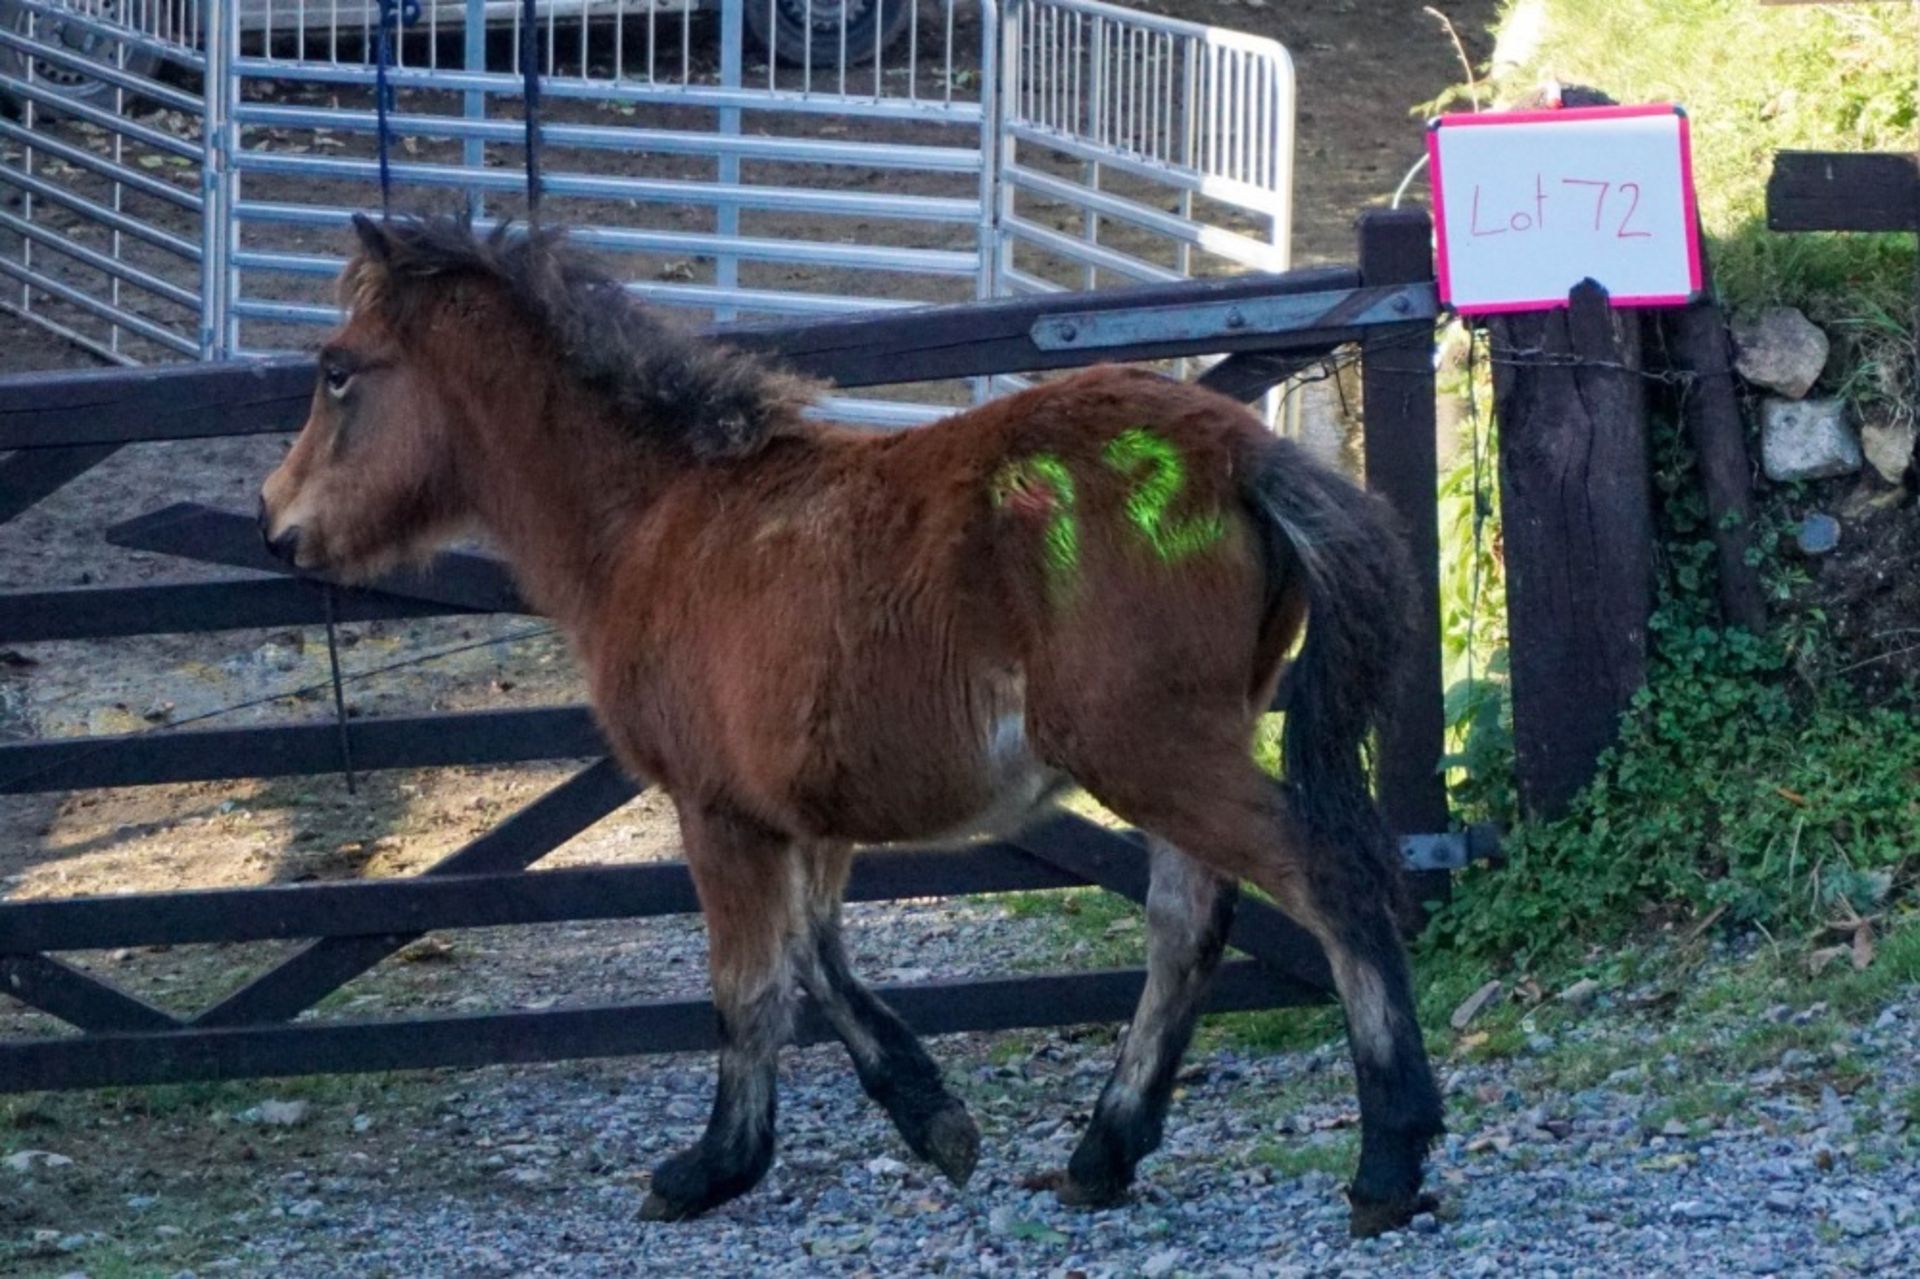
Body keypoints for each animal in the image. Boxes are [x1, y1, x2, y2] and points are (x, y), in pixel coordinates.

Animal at [263, 217, 1443, 1236]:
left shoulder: (718, 809)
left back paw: (1388, 1159)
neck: (658, 518)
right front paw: (933, 1118)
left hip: (1153, 752)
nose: (276, 524)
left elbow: (748, 987)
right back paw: (1102, 1155)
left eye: (336, 370)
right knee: (1186, 926)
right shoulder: (805, 811)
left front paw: (713, 1166)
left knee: (1324, 878)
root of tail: (1241, 452)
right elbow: (815, 954)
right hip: (1180, 751)